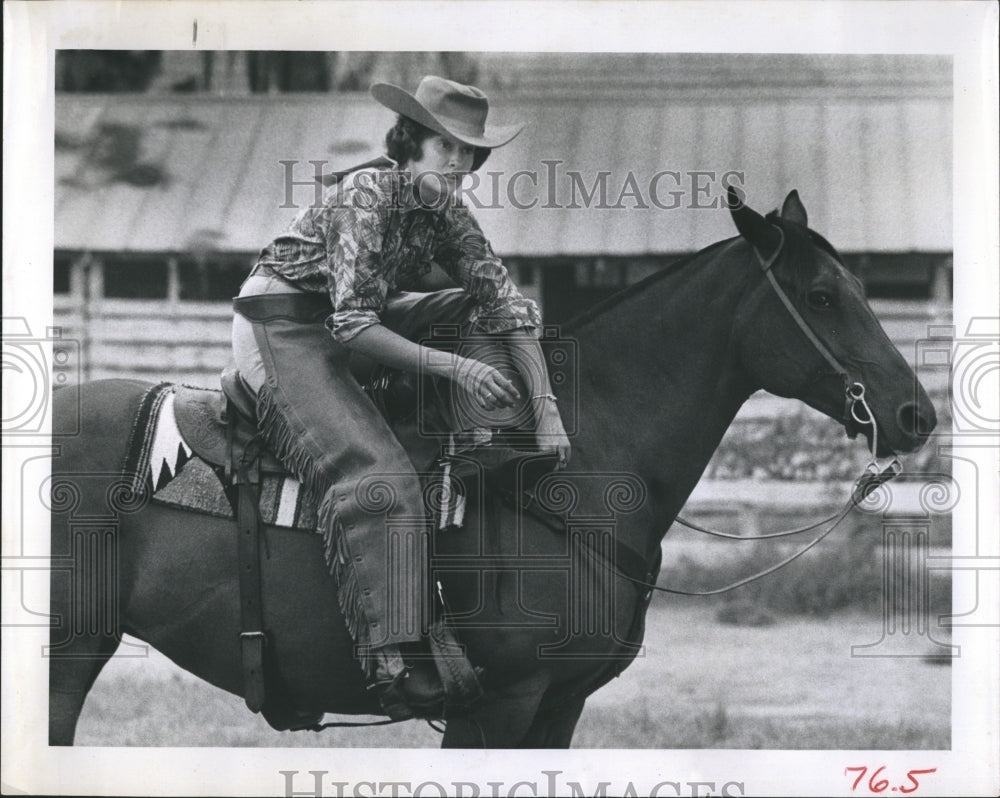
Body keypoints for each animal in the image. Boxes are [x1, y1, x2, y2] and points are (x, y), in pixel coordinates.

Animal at [48, 192, 936, 752]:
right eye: (822, 296)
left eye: (861, 286)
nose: (914, 414)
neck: (561, 477)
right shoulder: (501, 704)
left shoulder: (558, 708)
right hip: (67, 652)